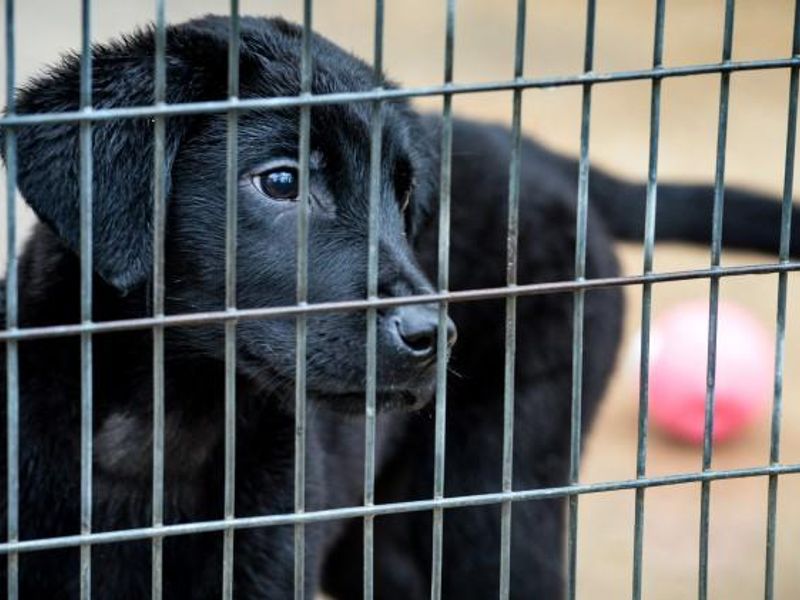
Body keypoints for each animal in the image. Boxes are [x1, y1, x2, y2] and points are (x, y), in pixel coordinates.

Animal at [0, 14, 796, 600]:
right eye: (281, 182)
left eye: (404, 195)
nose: (434, 335)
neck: (165, 424)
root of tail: (540, 156)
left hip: (493, 504)